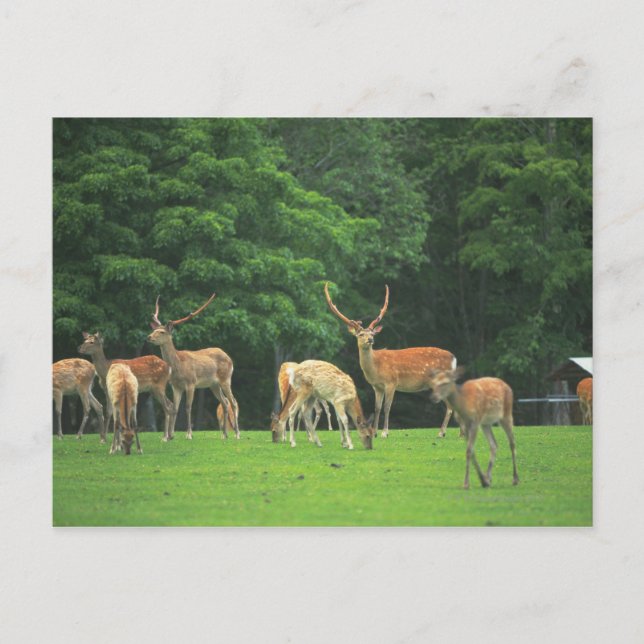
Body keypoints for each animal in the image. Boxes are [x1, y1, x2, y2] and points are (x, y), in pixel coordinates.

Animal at [148, 293, 240, 440]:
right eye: (154, 329)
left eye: (162, 332)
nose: (149, 337)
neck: (178, 366)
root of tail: (229, 357)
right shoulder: (175, 386)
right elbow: (175, 408)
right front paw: (170, 435)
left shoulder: (191, 383)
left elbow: (188, 407)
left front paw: (189, 434)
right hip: (214, 384)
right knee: (225, 402)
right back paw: (224, 435)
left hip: (226, 378)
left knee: (233, 402)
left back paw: (237, 434)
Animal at [324, 282, 457, 439]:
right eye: (361, 334)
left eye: (372, 333)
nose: (370, 339)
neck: (376, 367)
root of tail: (453, 358)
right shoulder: (377, 386)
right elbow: (377, 408)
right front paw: (374, 432)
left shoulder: (391, 382)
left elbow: (387, 407)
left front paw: (384, 432)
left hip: (440, 380)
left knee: (450, 406)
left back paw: (441, 432)